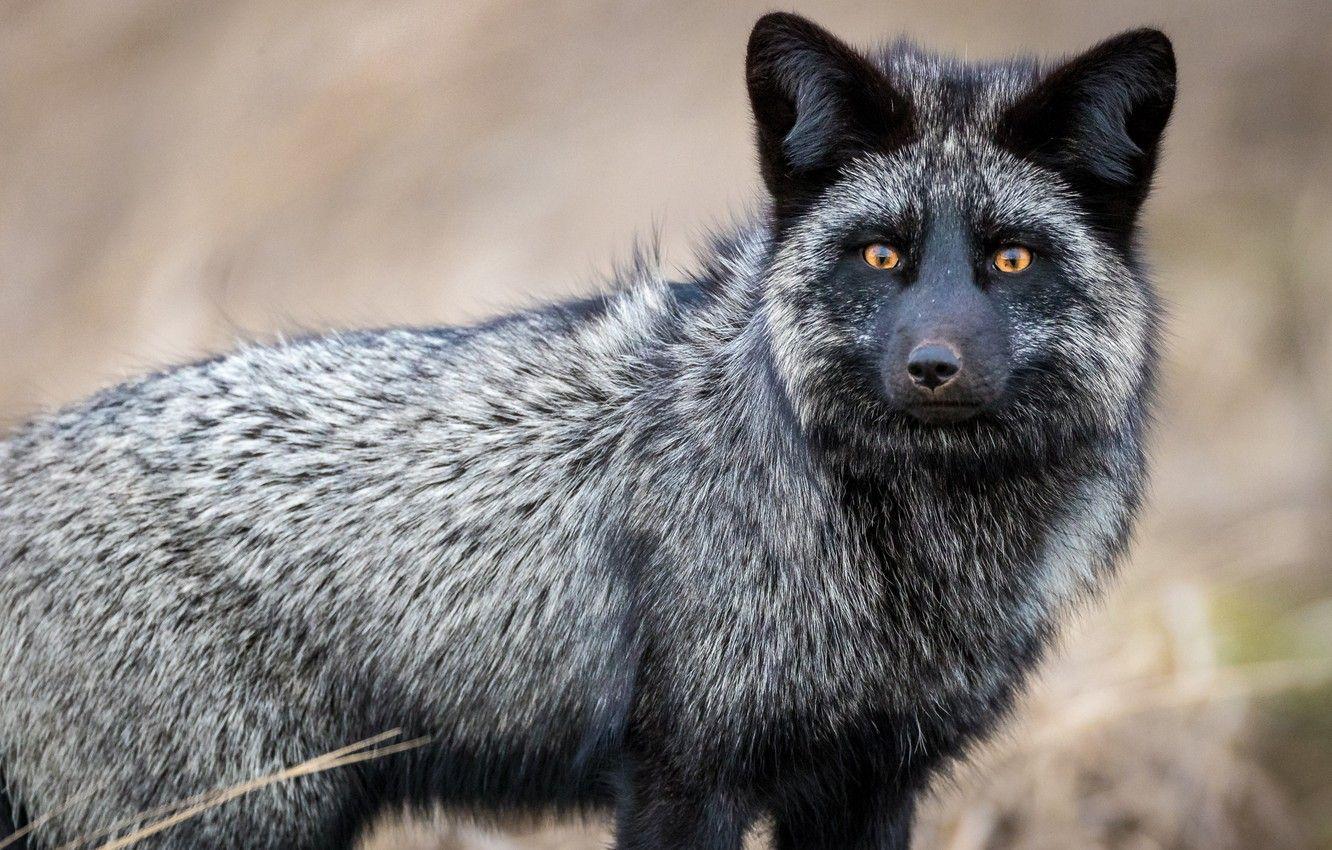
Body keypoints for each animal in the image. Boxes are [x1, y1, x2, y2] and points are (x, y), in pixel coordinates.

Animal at [0, 12, 1175, 850]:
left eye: (1012, 258)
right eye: (881, 255)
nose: (934, 366)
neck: (905, 556)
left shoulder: (868, 785)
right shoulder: (683, 773)